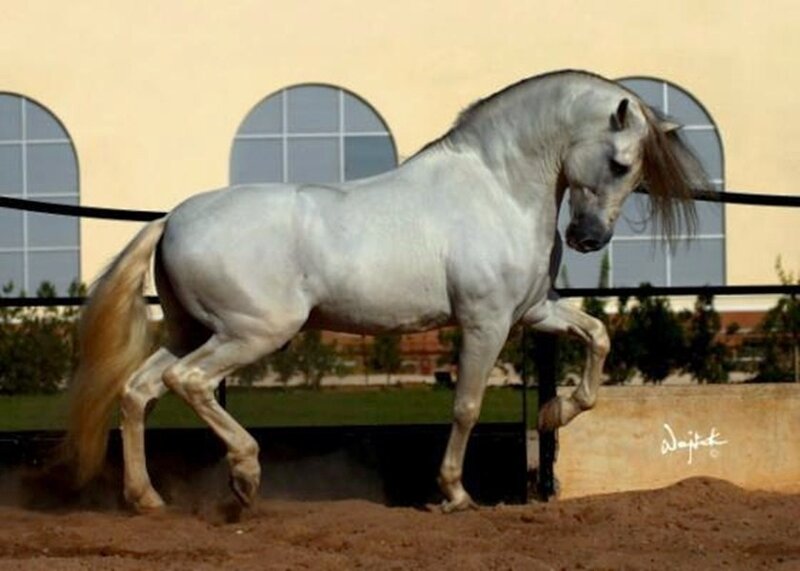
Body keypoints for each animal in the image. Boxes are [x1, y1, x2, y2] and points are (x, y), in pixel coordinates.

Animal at [64, 70, 705, 513]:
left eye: (638, 171)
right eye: (620, 162)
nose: (588, 238)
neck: (497, 189)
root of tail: (172, 219)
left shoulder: (532, 312)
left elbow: (598, 336)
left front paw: (556, 412)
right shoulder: (486, 321)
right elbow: (467, 406)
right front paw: (455, 494)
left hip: (192, 329)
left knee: (137, 391)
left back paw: (147, 499)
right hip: (251, 333)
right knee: (188, 382)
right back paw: (244, 477)